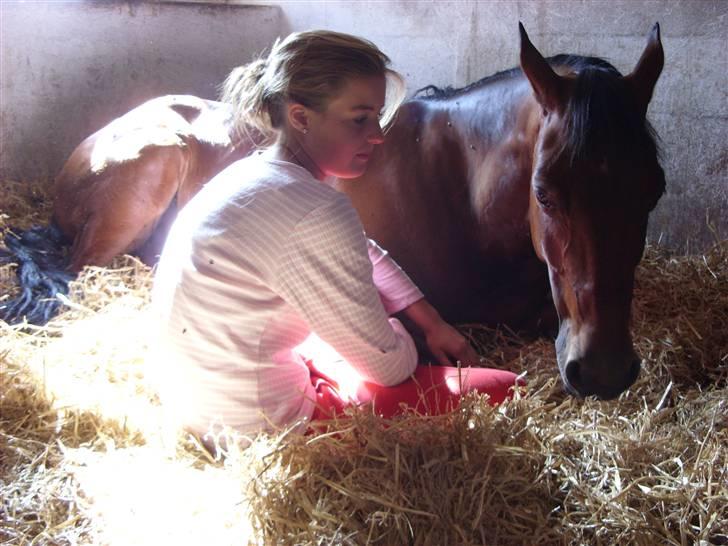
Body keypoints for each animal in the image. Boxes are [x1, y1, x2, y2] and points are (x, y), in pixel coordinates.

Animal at [0, 23, 664, 398]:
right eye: (545, 192)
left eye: (653, 190)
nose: (603, 372)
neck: (458, 187)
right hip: (147, 177)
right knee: (79, 269)